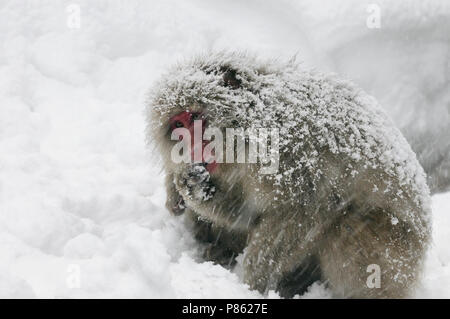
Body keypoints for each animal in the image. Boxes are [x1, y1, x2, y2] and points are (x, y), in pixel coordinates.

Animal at [146, 51, 430, 298]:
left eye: (195, 118)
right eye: (178, 125)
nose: (191, 147)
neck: (248, 128)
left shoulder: (288, 150)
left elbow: (297, 212)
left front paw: (251, 283)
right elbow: (248, 212)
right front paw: (180, 191)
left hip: (393, 250)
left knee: (346, 225)